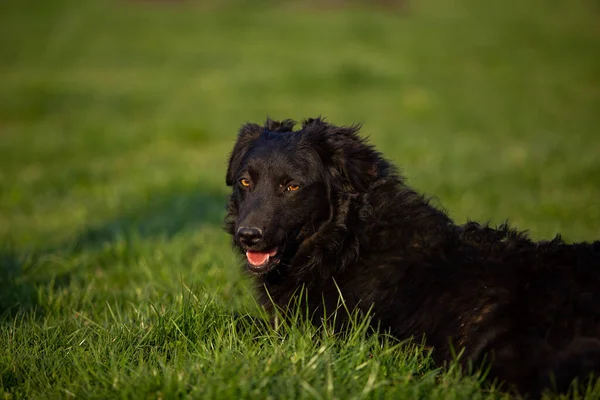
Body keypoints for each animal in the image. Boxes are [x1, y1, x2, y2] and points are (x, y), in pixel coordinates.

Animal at [225, 116, 600, 396]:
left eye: (292, 186)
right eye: (245, 182)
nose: (248, 236)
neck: (347, 241)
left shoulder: (327, 334)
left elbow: (240, 323)